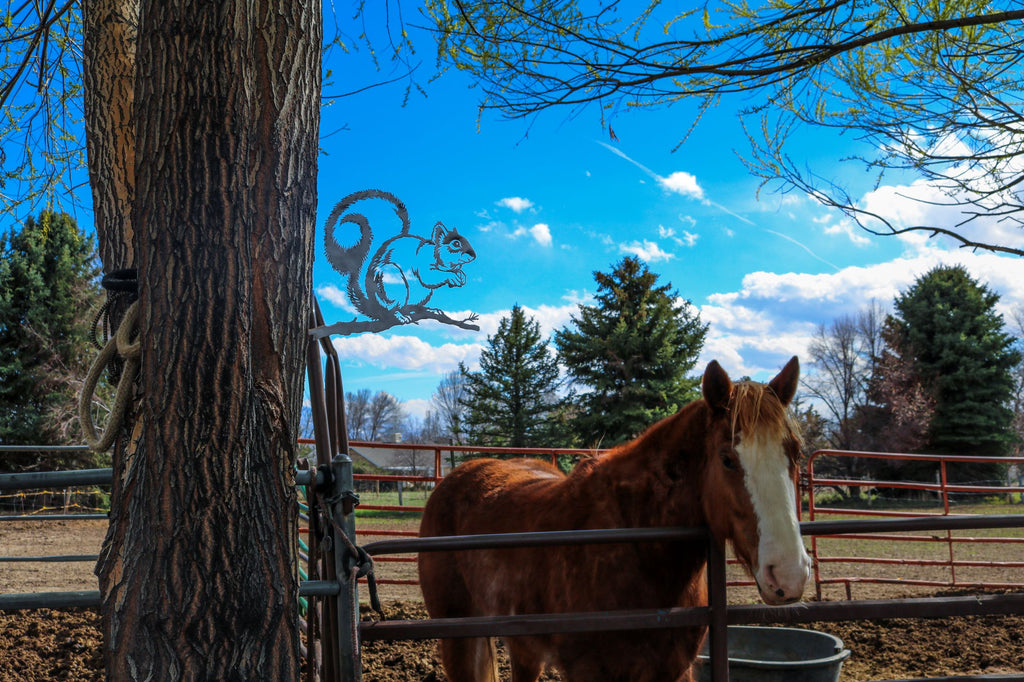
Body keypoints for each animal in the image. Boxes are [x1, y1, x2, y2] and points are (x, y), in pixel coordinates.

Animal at [415, 356, 806, 679]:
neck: (637, 549)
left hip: (522, 643)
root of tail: (456, 476)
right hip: (459, 638)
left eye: (797, 454)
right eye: (727, 458)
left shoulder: (674, 669)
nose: (789, 574)